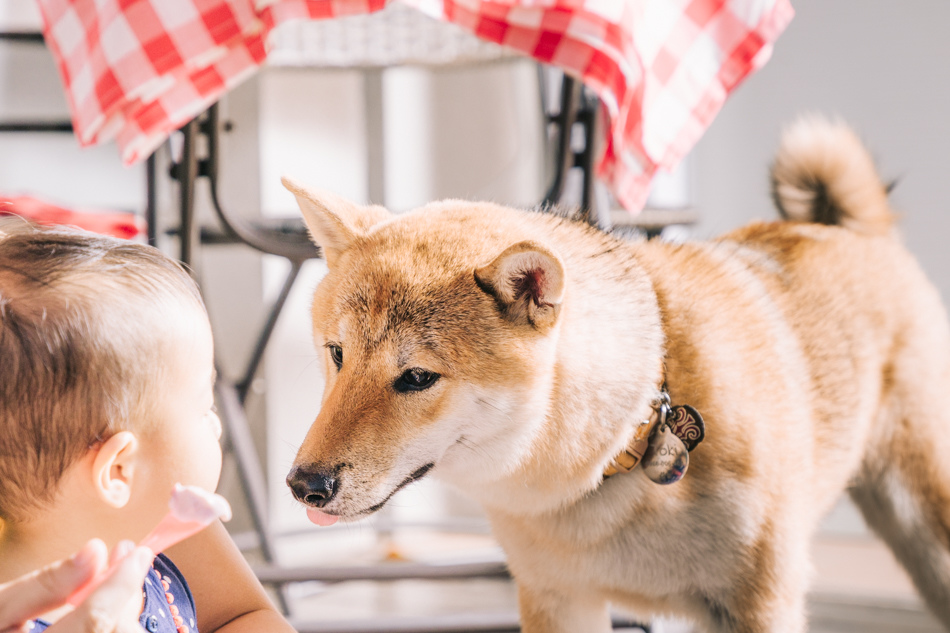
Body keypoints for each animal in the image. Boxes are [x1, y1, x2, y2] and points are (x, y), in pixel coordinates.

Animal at [286, 119, 950, 632]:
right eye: (337, 354)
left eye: (418, 378)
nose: (303, 485)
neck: (622, 443)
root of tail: (847, 228)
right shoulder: (558, 599)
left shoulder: (762, 602)